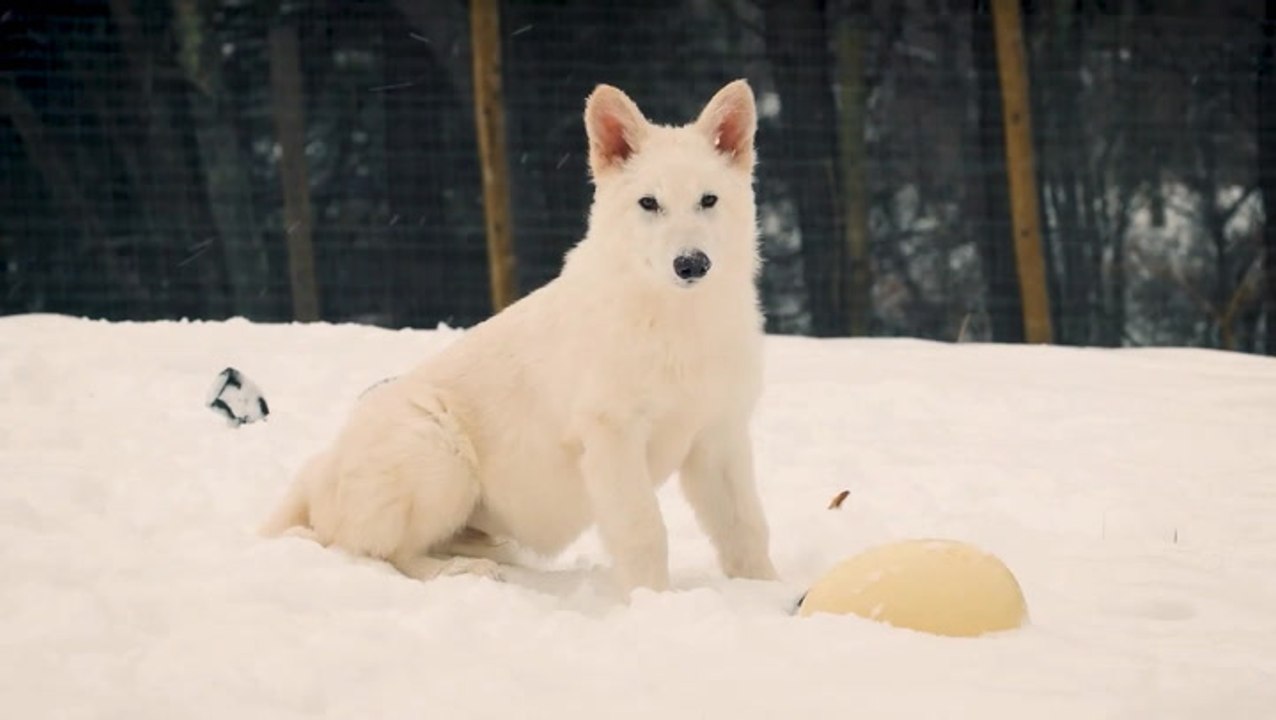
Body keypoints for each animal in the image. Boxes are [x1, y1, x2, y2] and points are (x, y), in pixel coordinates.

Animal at [261, 79, 778, 594]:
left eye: (708, 200)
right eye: (649, 204)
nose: (691, 264)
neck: (677, 320)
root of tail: (317, 478)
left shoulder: (719, 439)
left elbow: (745, 527)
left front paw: (767, 593)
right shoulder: (613, 437)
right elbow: (643, 530)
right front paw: (649, 602)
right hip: (439, 453)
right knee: (386, 554)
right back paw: (464, 573)